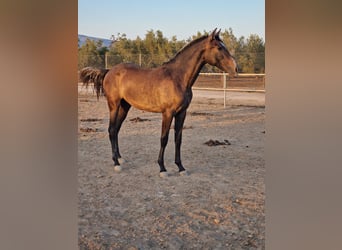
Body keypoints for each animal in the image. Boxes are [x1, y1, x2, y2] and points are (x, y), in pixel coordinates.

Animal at [80, 28, 238, 178]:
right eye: (219, 47)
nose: (235, 68)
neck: (177, 78)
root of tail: (109, 71)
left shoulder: (182, 113)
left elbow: (178, 139)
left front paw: (181, 168)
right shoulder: (167, 113)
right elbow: (164, 139)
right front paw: (162, 169)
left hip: (125, 106)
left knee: (117, 129)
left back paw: (120, 158)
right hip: (114, 105)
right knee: (112, 130)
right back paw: (116, 163)